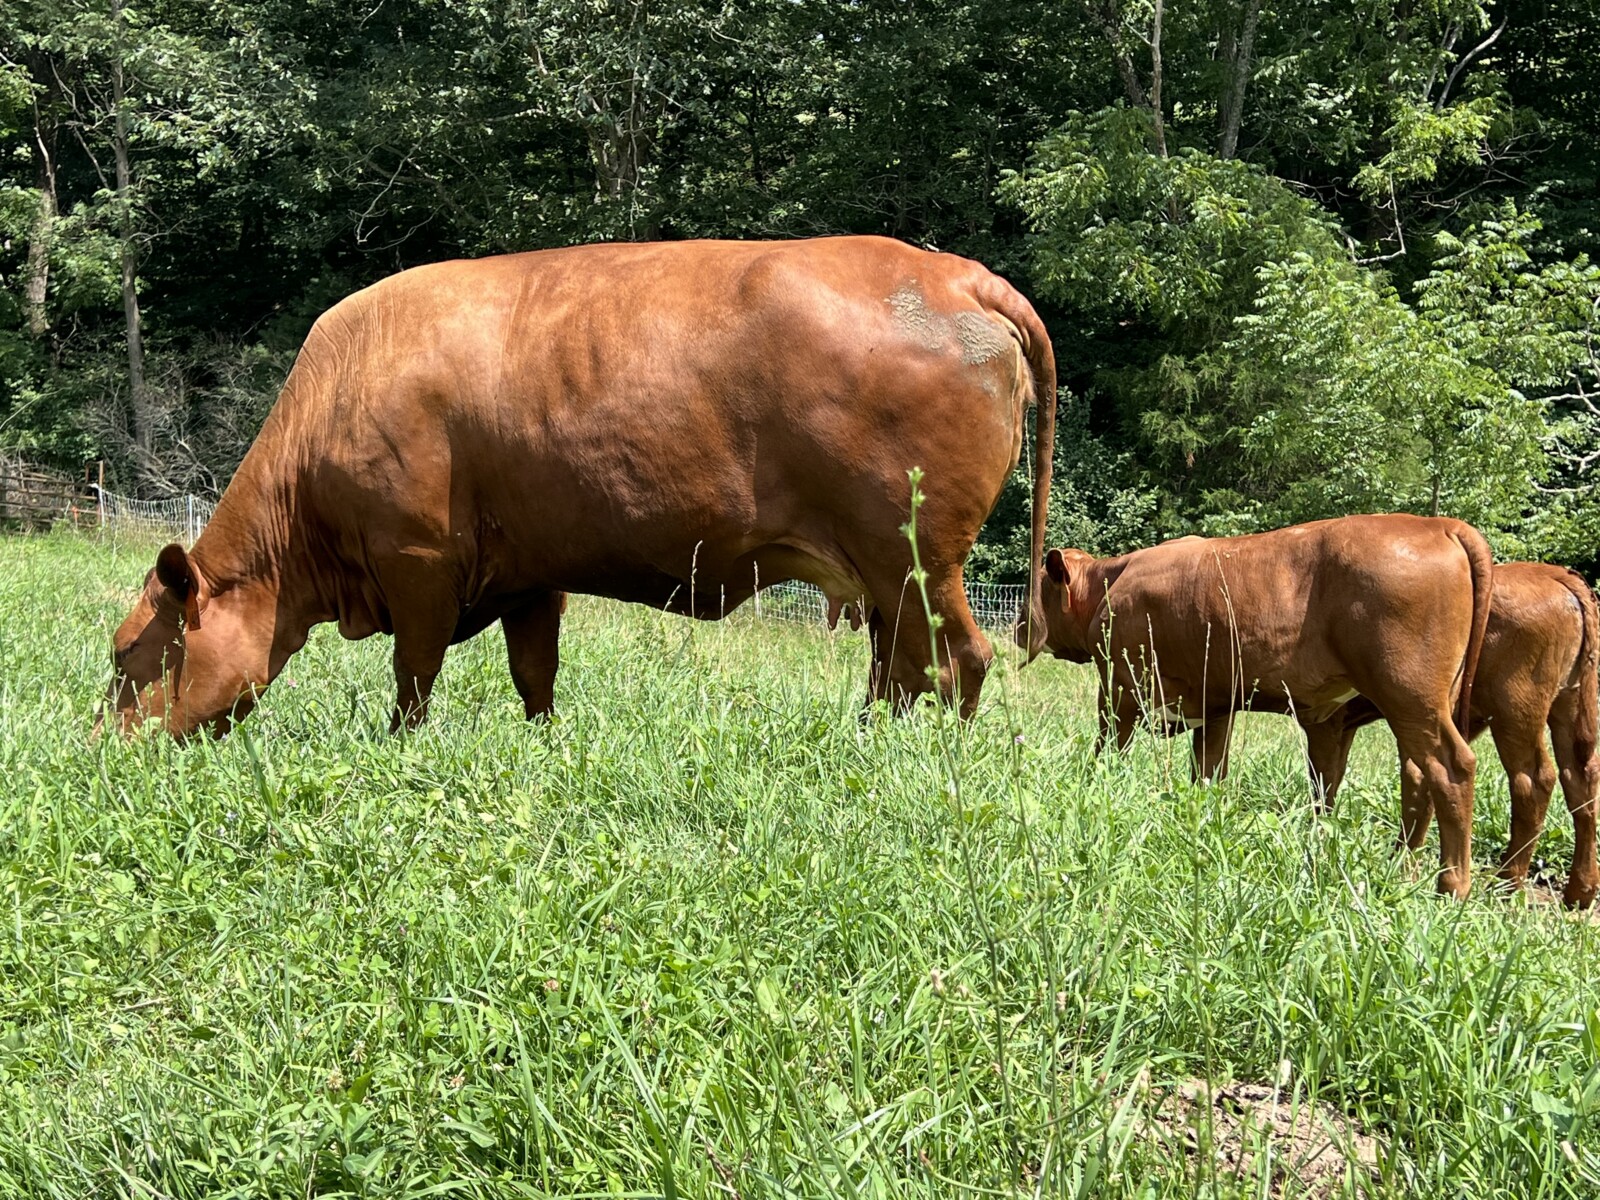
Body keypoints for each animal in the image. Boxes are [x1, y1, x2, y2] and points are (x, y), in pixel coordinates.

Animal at [102, 236, 1057, 737]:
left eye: (122, 654)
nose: (104, 748)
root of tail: (955, 274)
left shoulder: (417, 564)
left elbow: (413, 679)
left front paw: (400, 748)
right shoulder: (529, 573)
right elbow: (536, 676)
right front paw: (545, 743)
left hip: (915, 556)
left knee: (954, 660)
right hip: (889, 574)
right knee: (897, 665)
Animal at [1017, 514, 1493, 898]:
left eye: (1033, 592)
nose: (1020, 627)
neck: (1112, 581)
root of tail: (1438, 524)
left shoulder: (1119, 686)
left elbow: (1108, 752)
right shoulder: (1214, 706)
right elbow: (1208, 771)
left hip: (1408, 694)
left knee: (1450, 769)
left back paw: (1451, 886)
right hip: (1423, 704)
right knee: (1416, 776)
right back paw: (1401, 867)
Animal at [1301, 562, 1599, 908]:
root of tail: (1555, 575)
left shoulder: (1326, 722)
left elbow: (1322, 784)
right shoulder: (1341, 726)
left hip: (1514, 709)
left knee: (1532, 780)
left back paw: (1505, 884)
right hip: (1567, 702)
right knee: (1579, 777)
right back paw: (1580, 891)